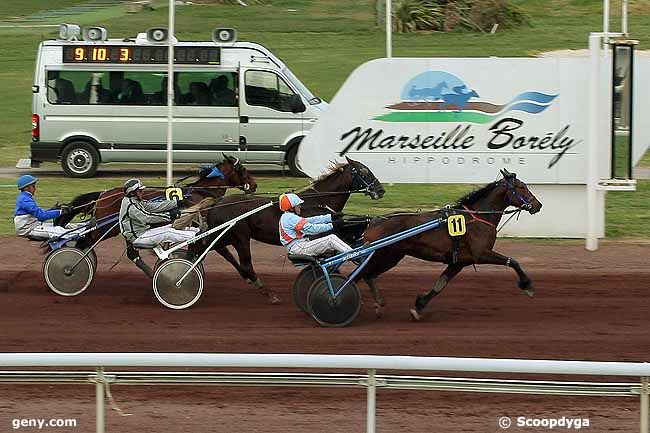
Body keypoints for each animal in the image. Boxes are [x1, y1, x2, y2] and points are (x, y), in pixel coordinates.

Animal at [56, 155, 258, 250]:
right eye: (242, 169)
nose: (254, 185)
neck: (200, 192)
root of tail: (103, 194)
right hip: (105, 229)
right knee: (84, 241)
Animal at [202, 157, 384, 302]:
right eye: (363, 171)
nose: (380, 190)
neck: (319, 200)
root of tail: (217, 203)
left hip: (226, 236)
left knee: (213, 250)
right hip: (240, 237)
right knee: (245, 265)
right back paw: (269, 293)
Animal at [356, 169, 540, 320]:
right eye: (522, 187)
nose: (538, 205)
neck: (478, 217)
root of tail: (374, 221)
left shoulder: (459, 262)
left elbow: (440, 285)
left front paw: (419, 306)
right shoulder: (481, 254)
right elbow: (512, 261)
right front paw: (527, 285)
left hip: (391, 257)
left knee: (368, 275)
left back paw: (378, 303)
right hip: (383, 255)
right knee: (361, 275)